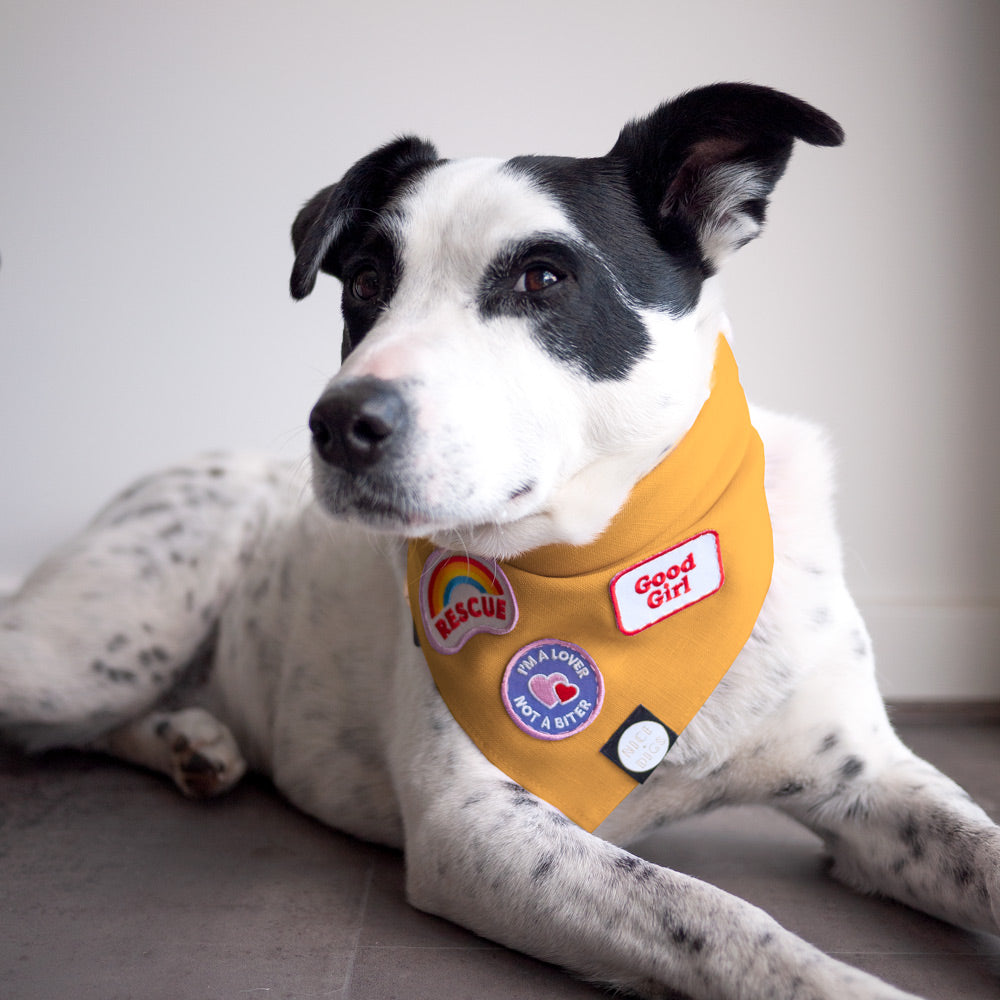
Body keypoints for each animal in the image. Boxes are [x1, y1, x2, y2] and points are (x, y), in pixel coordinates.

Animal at [1, 86, 1000, 1000]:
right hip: (94, 650)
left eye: (543, 279)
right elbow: (717, 914)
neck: (629, 571)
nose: (338, 425)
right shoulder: (481, 827)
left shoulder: (869, 780)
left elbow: (979, 848)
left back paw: (194, 741)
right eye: (365, 283)